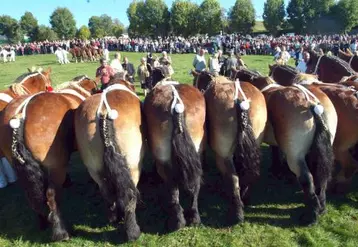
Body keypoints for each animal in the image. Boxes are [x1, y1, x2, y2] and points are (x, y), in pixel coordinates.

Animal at [0, 75, 98, 241]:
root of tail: (20, 115)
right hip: (56, 166)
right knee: (51, 195)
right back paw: (61, 232)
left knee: (31, 195)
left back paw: (43, 222)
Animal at [74, 78, 143, 240]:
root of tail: (104, 113)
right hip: (133, 165)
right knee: (130, 195)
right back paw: (132, 231)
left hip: (94, 168)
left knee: (106, 192)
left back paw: (113, 218)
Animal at [234, 68, 338, 225]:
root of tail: (313, 105)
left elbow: (275, 153)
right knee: (321, 176)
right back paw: (321, 207)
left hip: (295, 156)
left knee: (307, 178)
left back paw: (311, 216)